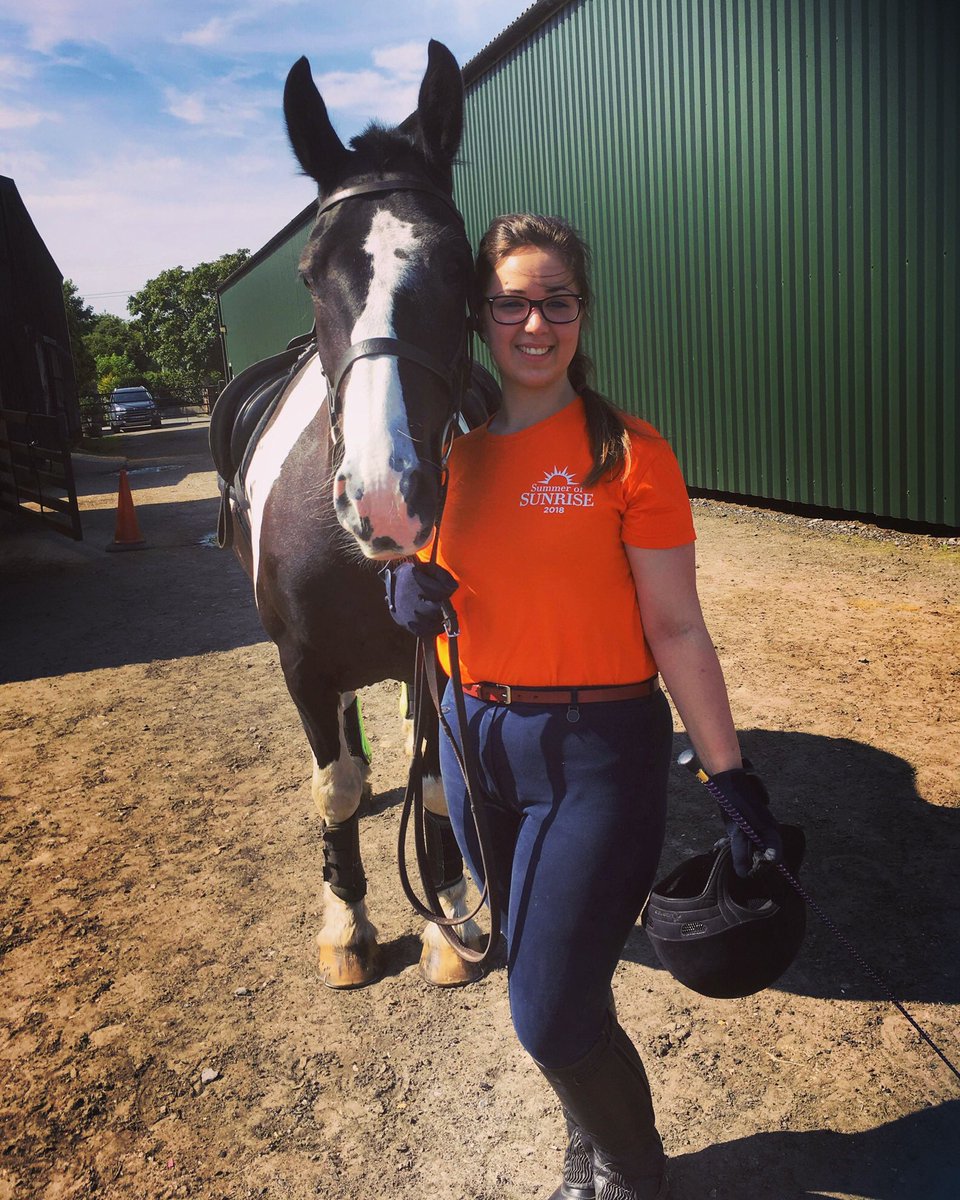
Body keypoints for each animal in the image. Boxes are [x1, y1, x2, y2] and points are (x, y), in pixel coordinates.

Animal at [210, 41, 497, 988]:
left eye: (462, 266)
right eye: (308, 273)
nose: (384, 496)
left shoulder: (438, 656)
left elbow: (436, 775)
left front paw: (448, 916)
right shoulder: (300, 662)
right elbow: (330, 785)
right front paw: (347, 924)